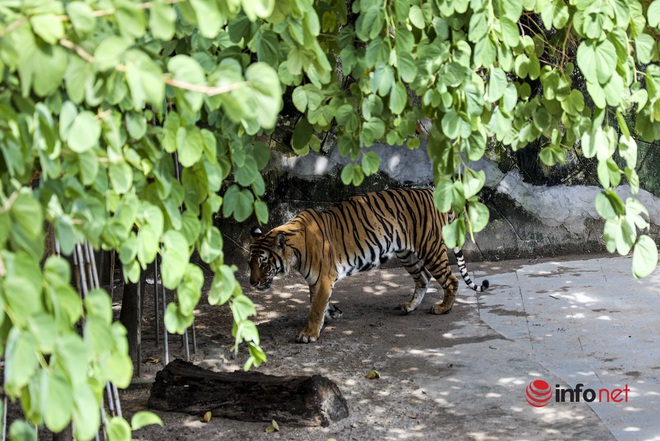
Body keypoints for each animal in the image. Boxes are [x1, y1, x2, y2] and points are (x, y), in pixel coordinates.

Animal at [250, 187, 488, 342]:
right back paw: (410, 306)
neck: (294, 252)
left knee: (451, 280)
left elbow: (316, 307)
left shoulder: (324, 278)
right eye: (250, 263)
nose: (252, 283)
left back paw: (443, 308)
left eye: (264, 264)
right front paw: (331, 314)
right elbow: (317, 303)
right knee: (423, 278)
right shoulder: (316, 280)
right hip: (407, 253)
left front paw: (309, 334)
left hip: (431, 249)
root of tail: (432, 193)